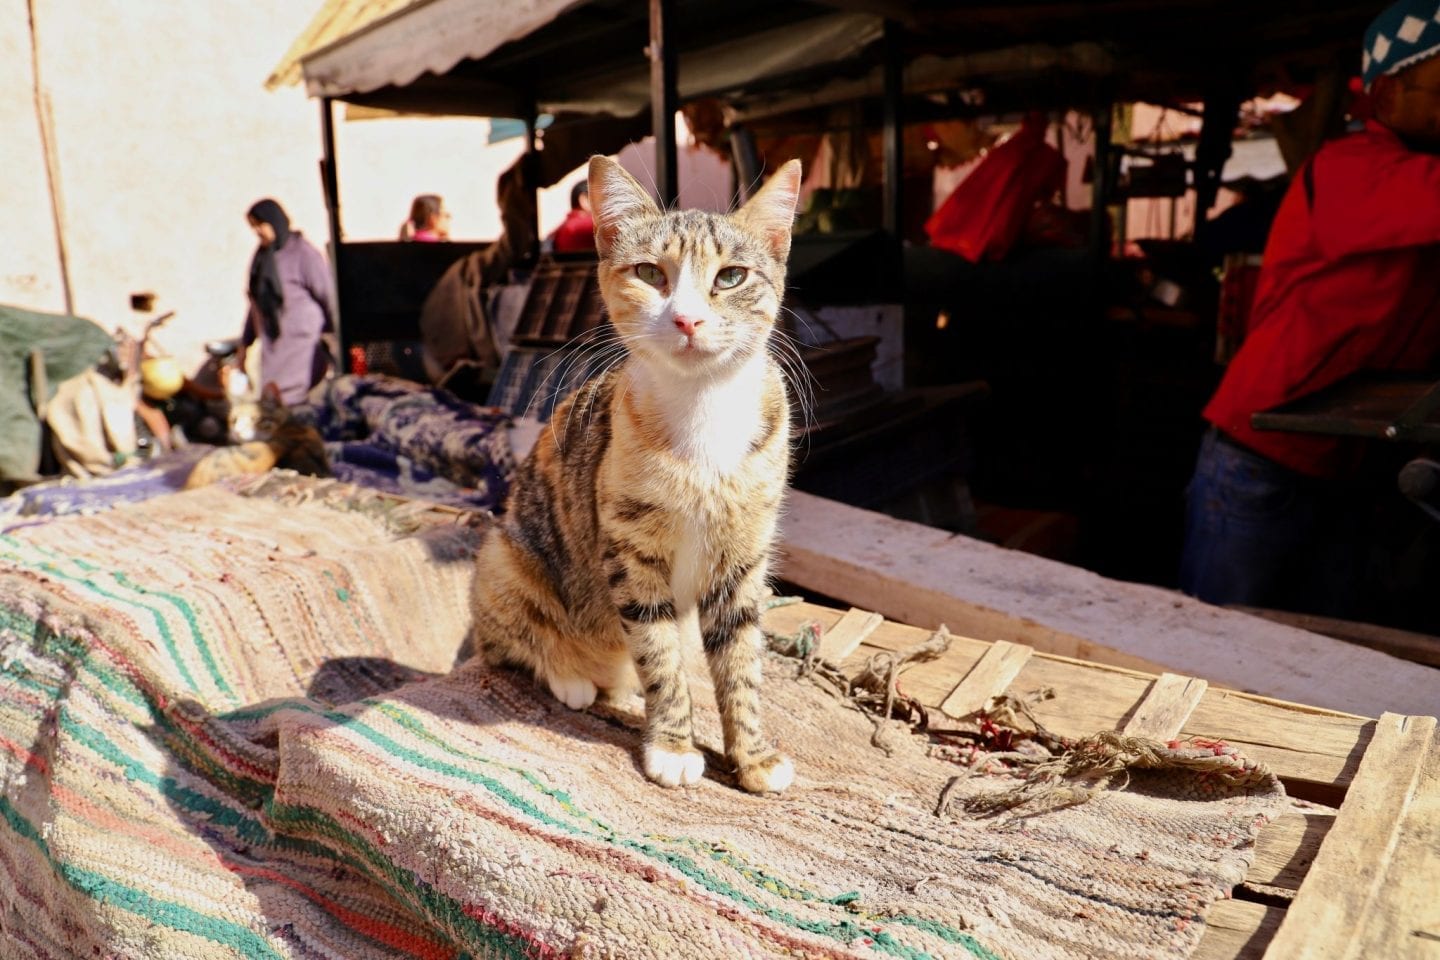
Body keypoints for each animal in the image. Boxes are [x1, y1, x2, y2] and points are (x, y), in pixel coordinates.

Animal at [472, 154, 812, 794]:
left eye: (731, 277)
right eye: (650, 272)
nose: (688, 319)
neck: (702, 409)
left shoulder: (743, 552)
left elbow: (741, 657)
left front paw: (753, 755)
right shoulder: (630, 549)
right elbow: (659, 652)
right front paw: (674, 746)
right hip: (501, 557)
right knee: (507, 643)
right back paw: (572, 678)